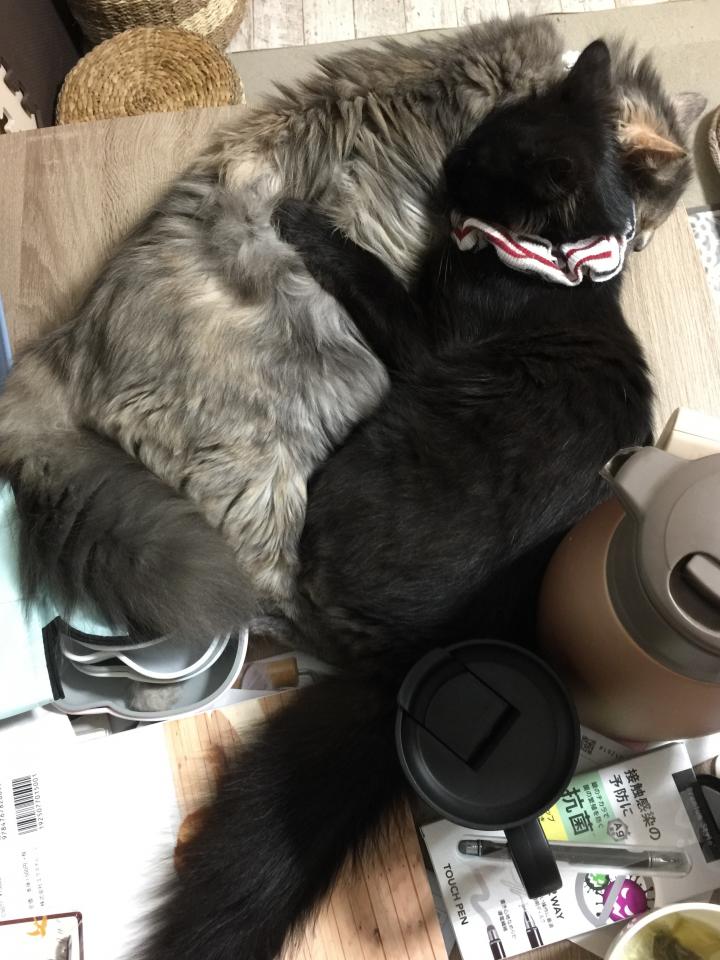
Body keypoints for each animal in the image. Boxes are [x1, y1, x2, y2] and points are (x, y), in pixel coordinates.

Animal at [132, 42, 653, 960]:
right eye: (476, 136)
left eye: (482, 162)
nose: (447, 166)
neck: (552, 268)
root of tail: (421, 656)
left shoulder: (420, 338)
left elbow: (368, 273)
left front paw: (304, 223)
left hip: (351, 471)